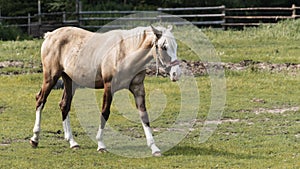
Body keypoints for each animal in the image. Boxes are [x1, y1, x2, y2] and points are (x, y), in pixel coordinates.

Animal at [29, 24, 180, 156]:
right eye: (164, 46)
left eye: (175, 46)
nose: (176, 74)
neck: (125, 52)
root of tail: (50, 35)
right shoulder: (109, 87)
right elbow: (105, 113)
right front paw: (101, 145)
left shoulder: (138, 88)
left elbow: (144, 116)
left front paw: (154, 148)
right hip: (51, 77)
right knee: (40, 100)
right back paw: (35, 139)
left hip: (69, 81)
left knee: (64, 105)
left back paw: (72, 142)